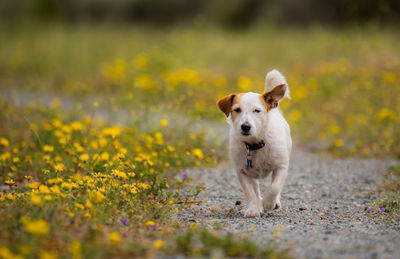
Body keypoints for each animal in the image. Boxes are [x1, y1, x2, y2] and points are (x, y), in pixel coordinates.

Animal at [217, 70, 292, 218]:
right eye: (237, 109)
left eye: (257, 110)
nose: (245, 126)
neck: (255, 144)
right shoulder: (242, 171)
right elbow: (250, 193)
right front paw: (253, 208)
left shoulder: (281, 166)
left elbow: (274, 187)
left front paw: (268, 203)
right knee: (256, 189)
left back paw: (274, 202)